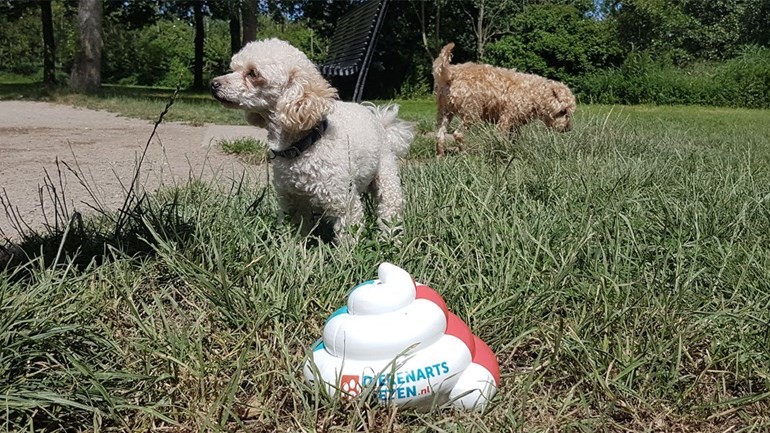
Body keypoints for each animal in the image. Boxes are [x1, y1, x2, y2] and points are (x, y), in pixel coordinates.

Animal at [208, 38, 414, 241]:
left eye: (253, 73)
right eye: (234, 68)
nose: (213, 84)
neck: (304, 143)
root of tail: (380, 121)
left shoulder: (344, 204)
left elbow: (348, 239)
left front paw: (346, 252)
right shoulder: (292, 202)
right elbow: (296, 233)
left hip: (386, 176)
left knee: (390, 209)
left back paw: (389, 240)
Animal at [428, 42, 572, 156]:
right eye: (563, 111)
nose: (568, 129)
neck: (534, 94)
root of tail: (450, 74)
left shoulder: (515, 124)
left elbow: (515, 139)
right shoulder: (506, 119)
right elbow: (502, 138)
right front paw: (504, 151)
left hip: (445, 112)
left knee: (440, 134)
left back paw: (441, 155)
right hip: (471, 113)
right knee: (458, 134)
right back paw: (465, 153)